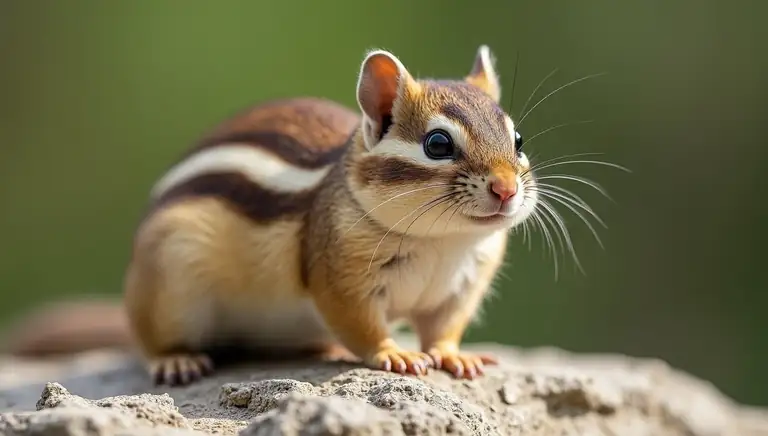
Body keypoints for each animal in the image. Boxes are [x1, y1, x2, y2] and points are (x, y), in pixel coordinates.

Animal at [3, 45, 540, 386]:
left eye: (517, 140)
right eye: (437, 144)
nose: (506, 189)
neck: (441, 242)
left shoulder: (461, 287)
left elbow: (444, 327)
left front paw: (453, 356)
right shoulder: (340, 277)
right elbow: (362, 324)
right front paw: (395, 352)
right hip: (167, 283)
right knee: (148, 339)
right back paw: (176, 360)